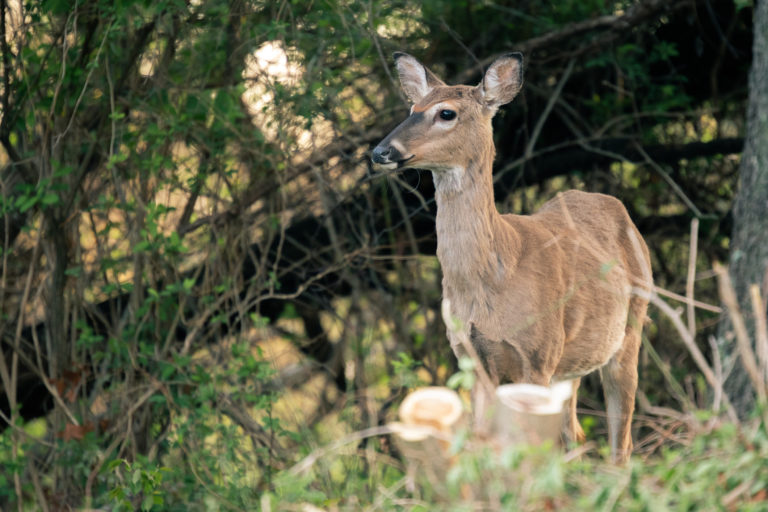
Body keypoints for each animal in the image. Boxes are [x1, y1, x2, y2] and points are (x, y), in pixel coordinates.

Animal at [374, 52, 656, 464]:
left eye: (446, 113)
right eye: (412, 108)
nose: (380, 152)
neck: (492, 280)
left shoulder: (536, 355)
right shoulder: (471, 358)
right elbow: (484, 444)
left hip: (630, 328)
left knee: (621, 441)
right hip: (570, 364)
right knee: (575, 434)